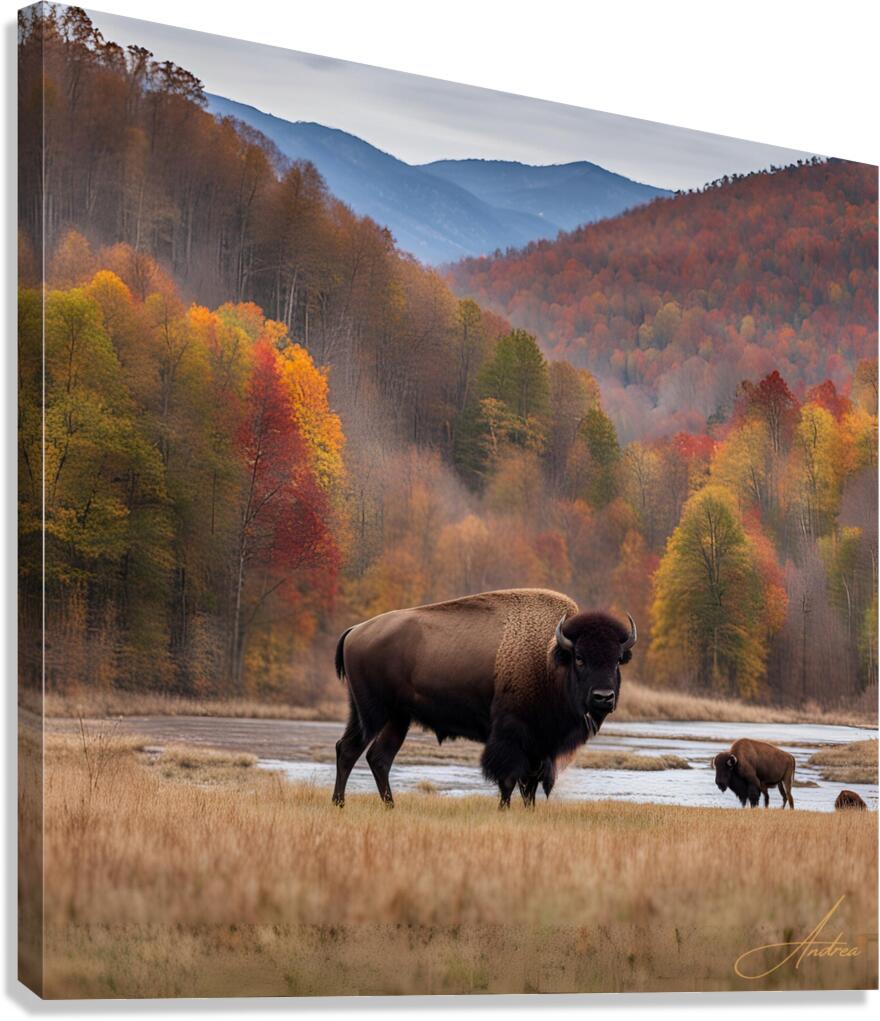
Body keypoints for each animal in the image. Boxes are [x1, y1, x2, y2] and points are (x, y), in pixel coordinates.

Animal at [332, 588, 636, 808]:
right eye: (580, 658)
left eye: (616, 660)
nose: (603, 697)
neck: (550, 659)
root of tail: (356, 630)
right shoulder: (512, 736)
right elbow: (509, 779)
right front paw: (504, 810)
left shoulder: (539, 744)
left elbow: (531, 784)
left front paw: (529, 811)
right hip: (373, 713)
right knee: (351, 750)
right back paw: (340, 803)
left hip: (395, 718)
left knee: (376, 757)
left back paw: (387, 806)